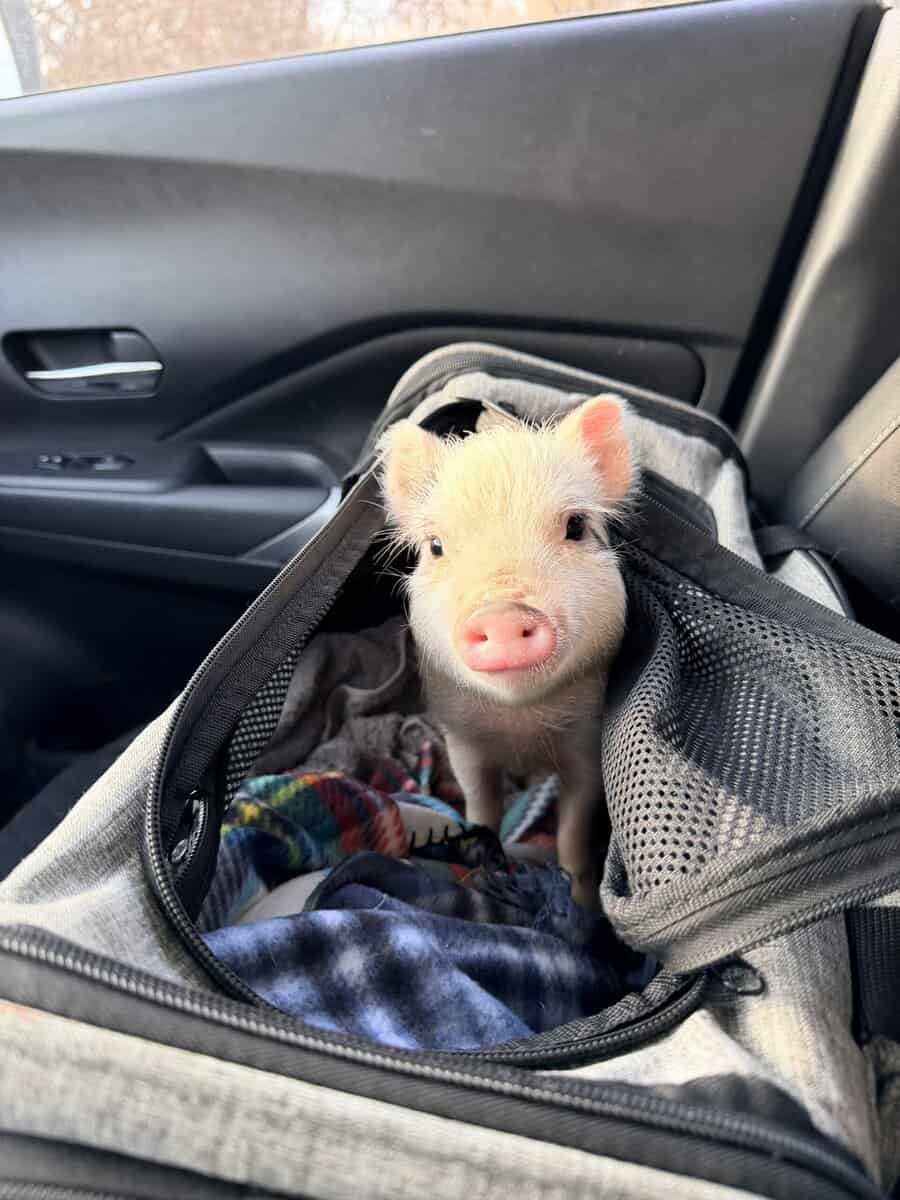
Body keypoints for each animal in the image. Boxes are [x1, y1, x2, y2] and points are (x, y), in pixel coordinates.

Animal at [378, 395, 636, 908]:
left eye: (575, 526)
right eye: (436, 546)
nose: (502, 614)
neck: (522, 729)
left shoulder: (586, 742)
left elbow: (574, 828)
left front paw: (580, 901)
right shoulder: (461, 738)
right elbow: (482, 806)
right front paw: (482, 858)